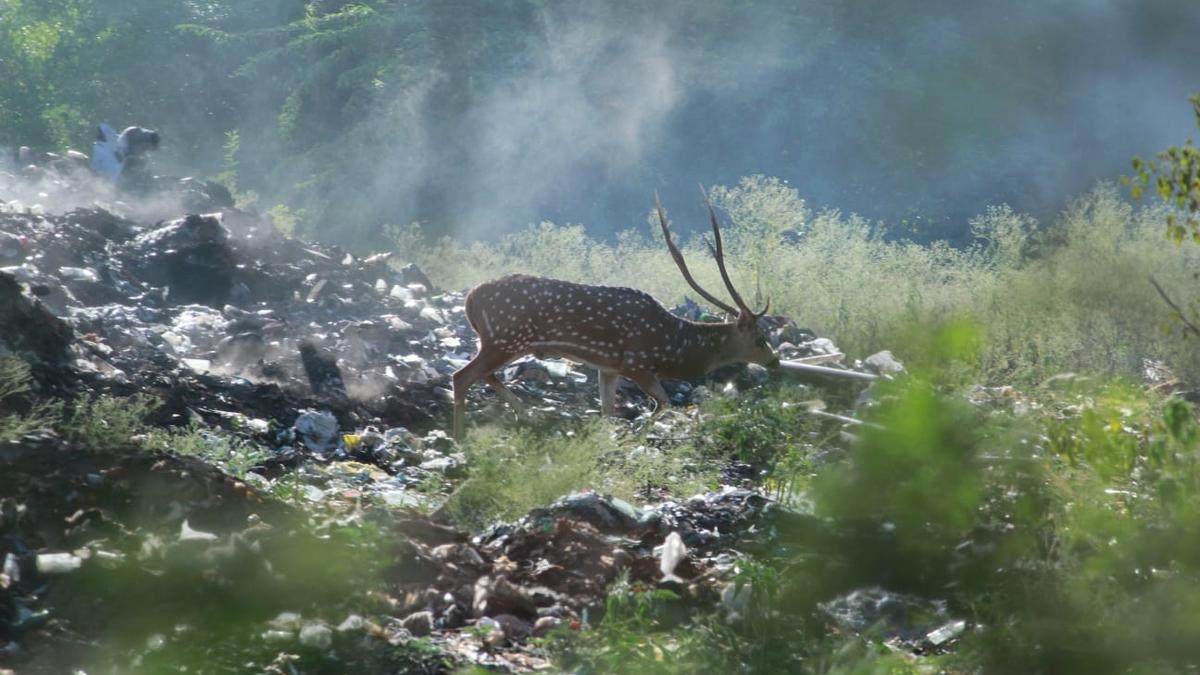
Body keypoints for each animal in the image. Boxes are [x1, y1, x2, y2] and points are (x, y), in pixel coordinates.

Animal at [452, 196, 779, 439]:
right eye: (760, 338)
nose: (775, 362)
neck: (674, 348)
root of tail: (470, 299)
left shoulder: (608, 367)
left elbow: (607, 411)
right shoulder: (638, 363)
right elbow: (663, 403)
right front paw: (635, 433)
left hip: (502, 342)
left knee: (483, 374)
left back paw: (524, 415)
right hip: (505, 339)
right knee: (462, 376)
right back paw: (461, 435)